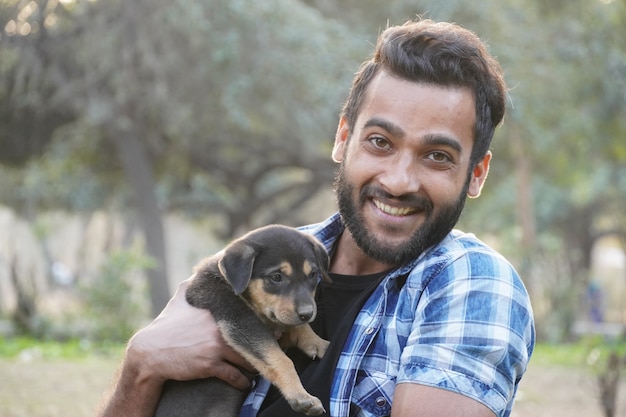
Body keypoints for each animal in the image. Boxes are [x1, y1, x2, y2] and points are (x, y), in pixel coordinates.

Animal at [155, 226, 332, 414]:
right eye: (276, 277)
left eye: (313, 274)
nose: (307, 313)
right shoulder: (239, 320)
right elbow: (280, 359)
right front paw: (301, 396)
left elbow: (297, 326)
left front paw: (317, 343)